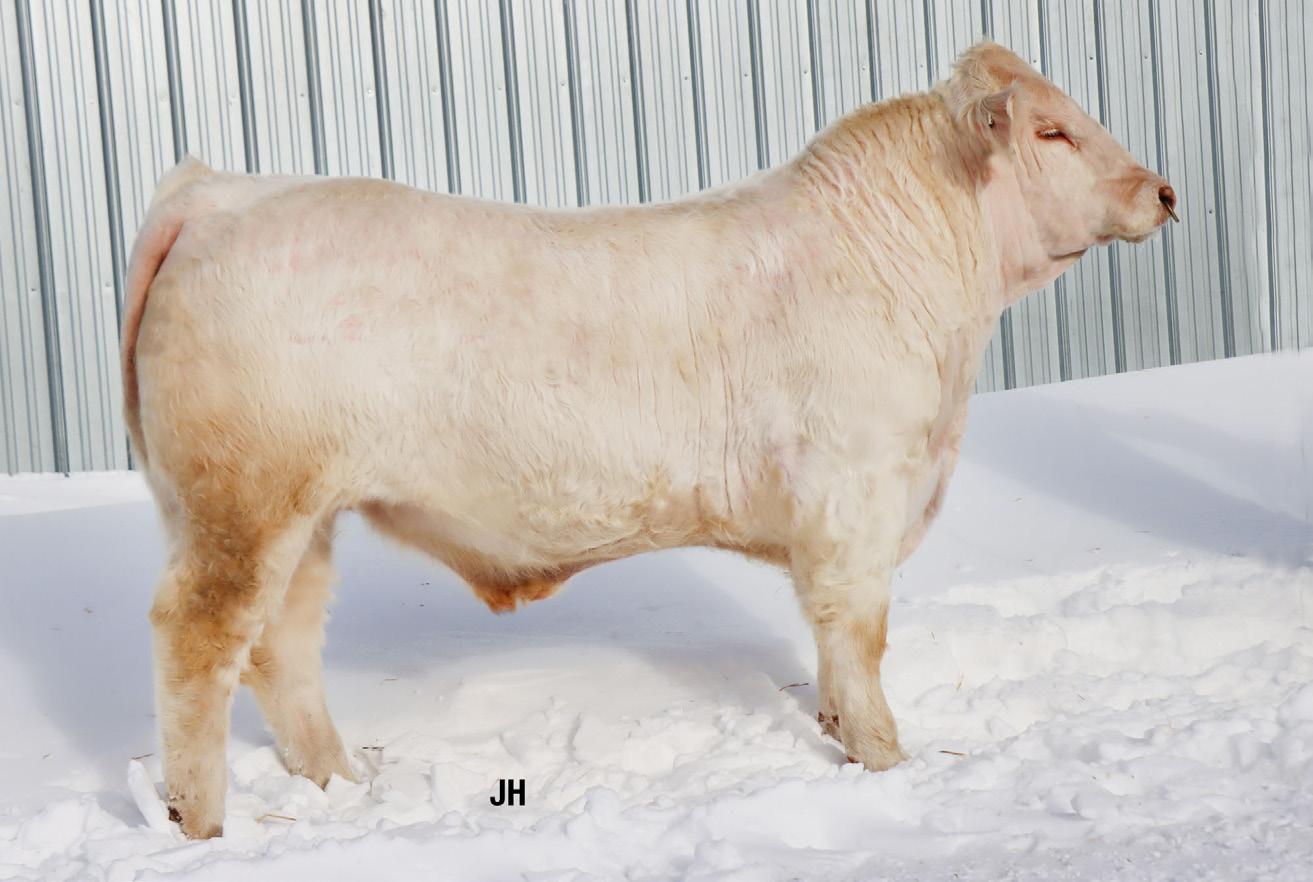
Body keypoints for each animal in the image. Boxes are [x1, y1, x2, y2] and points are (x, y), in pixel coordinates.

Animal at [122, 42, 1176, 838]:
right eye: (1049, 130)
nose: (1161, 191)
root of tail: (220, 190)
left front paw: (839, 732)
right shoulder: (856, 498)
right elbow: (858, 636)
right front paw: (886, 761)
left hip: (297, 512)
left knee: (284, 642)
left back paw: (340, 782)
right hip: (242, 505)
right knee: (199, 641)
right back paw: (204, 823)